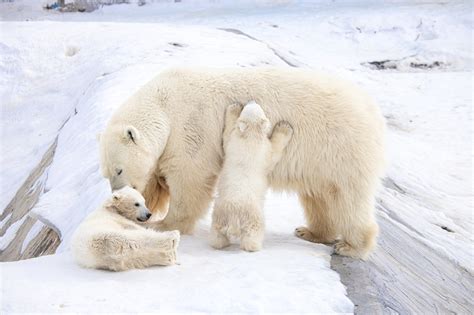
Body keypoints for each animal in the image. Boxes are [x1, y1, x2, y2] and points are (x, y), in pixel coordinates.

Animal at [99, 66, 386, 260]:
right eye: (106, 173)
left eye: (119, 169)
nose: (116, 192)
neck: (164, 103)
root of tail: (370, 108)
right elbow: (156, 181)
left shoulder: (191, 127)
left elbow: (190, 178)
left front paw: (163, 224)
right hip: (321, 160)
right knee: (320, 196)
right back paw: (311, 232)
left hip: (339, 147)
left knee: (348, 198)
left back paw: (351, 246)